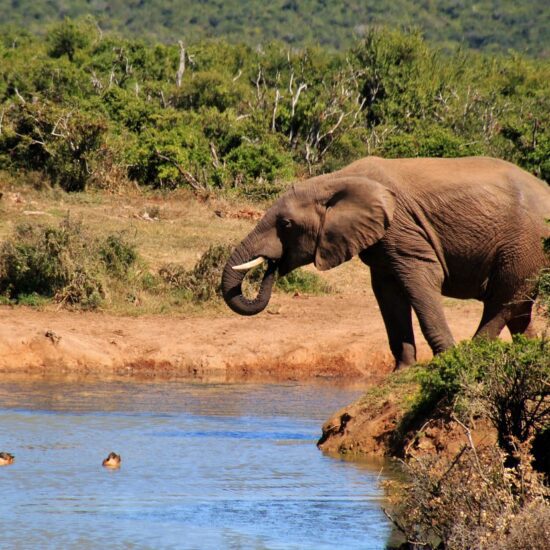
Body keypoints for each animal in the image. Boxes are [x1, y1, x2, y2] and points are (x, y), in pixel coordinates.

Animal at [221, 156, 550, 370]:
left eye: (286, 224)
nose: (272, 265)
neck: (335, 180)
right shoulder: (381, 244)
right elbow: (388, 294)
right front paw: (402, 371)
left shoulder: (402, 229)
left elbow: (421, 281)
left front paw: (447, 361)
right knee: (519, 309)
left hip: (525, 243)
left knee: (503, 300)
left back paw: (472, 353)